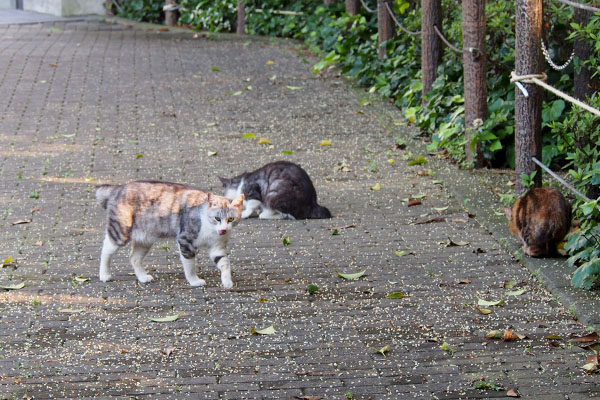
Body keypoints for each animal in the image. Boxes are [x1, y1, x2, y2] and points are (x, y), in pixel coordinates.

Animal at [95, 181, 244, 288]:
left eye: (231, 219)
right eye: (217, 218)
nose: (223, 230)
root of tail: (118, 188)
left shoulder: (217, 247)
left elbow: (224, 263)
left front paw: (227, 282)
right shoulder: (185, 241)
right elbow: (190, 266)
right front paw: (194, 281)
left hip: (145, 238)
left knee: (134, 258)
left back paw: (143, 277)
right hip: (120, 231)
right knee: (106, 249)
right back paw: (104, 274)